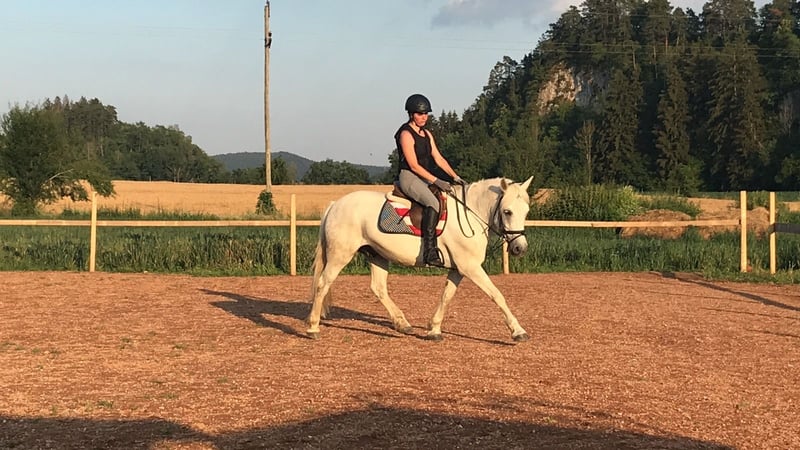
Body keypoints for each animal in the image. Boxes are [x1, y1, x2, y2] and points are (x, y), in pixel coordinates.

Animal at [306, 176, 534, 342]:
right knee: (323, 283)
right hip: (340, 255)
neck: (471, 214)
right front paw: (518, 331)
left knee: (378, 288)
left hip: (377, 254)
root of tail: (335, 205)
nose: (520, 248)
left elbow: (446, 296)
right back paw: (313, 327)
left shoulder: (458, 269)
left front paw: (434, 329)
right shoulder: (470, 267)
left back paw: (402, 324)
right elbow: (497, 295)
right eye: (507, 211)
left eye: (526, 211)